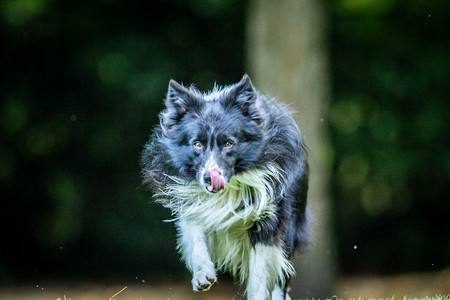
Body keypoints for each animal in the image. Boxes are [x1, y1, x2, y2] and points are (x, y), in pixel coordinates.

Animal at [142, 74, 312, 298]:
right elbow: (195, 233)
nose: (209, 178)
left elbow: (261, 271)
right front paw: (203, 275)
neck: (231, 187)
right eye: (197, 144)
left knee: (281, 274)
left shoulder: (270, 214)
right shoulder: (192, 202)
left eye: (229, 144)